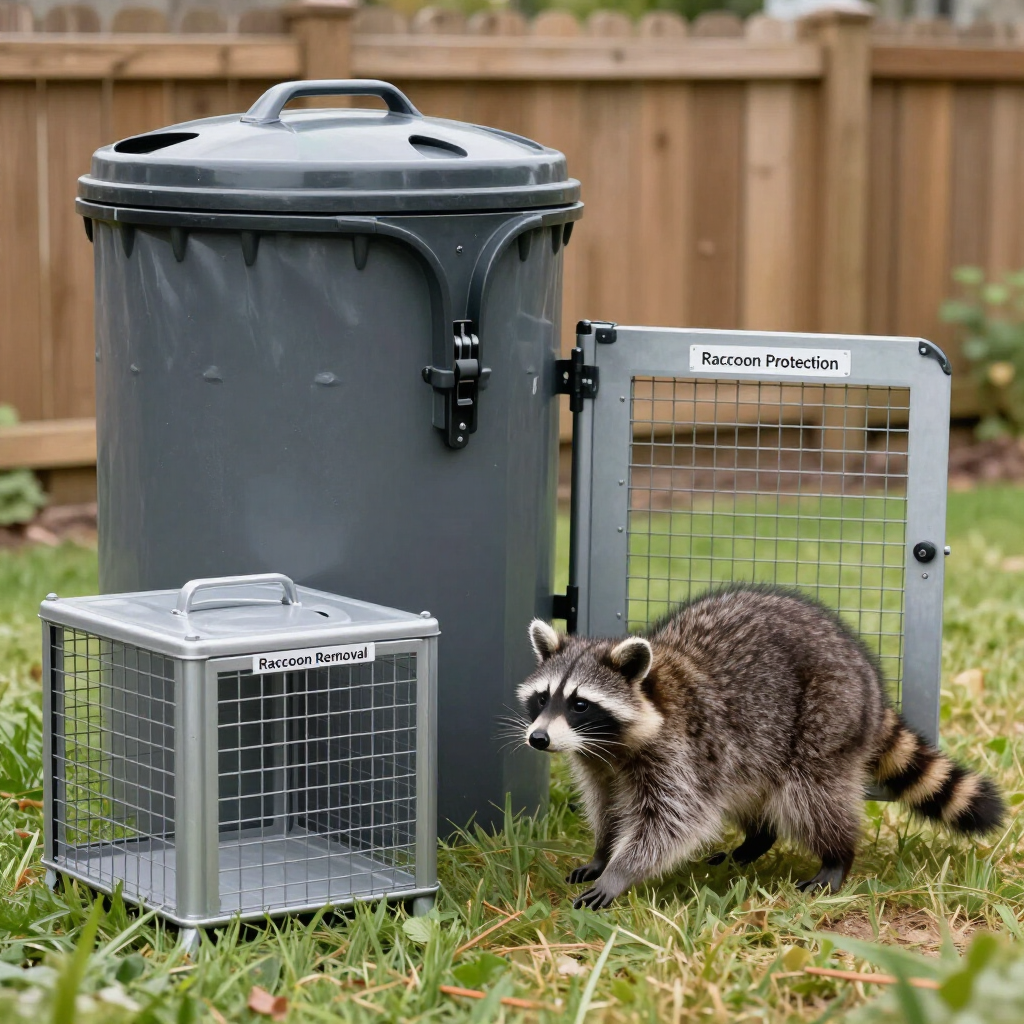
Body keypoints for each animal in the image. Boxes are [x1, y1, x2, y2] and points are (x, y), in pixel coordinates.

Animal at [517, 584, 1004, 910]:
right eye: (543, 698)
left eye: (580, 704)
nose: (538, 739)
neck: (617, 741)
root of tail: (870, 680)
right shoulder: (599, 761)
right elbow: (609, 807)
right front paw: (603, 852)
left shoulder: (680, 752)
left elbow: (671, 822)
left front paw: (621, 872)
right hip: (752, 751)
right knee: (749, 791)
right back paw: (755, 841)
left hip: (827, 716)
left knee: (812, 795)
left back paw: (837, 856)